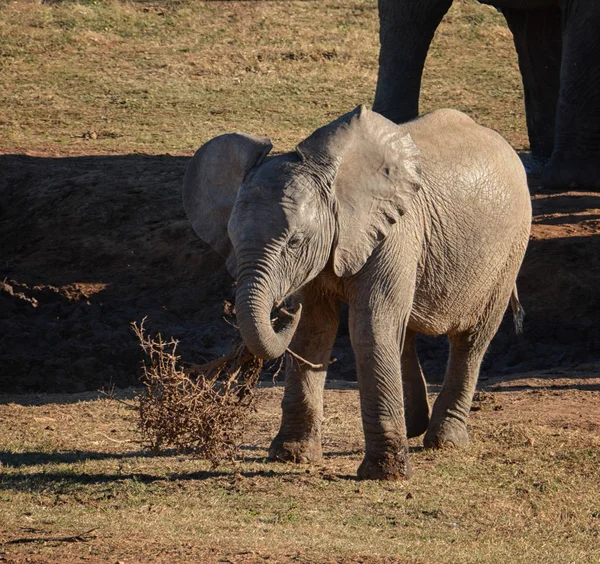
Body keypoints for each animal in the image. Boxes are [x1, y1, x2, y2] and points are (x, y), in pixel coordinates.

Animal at [183, 107, 528, 480]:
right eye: (231, 237)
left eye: (295, 242)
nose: (284, 309)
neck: (335, 182)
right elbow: (314, 330)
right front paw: (292, 455)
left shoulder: (394, 233)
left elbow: (369, 327)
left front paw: (386, 473)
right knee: (403, 332)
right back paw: (412, 428)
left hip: (510, 250)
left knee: (472, 339)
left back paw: (444, 441)